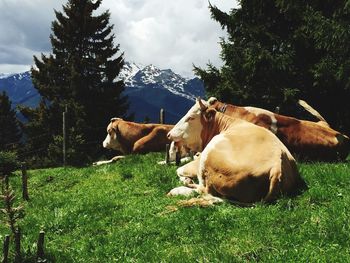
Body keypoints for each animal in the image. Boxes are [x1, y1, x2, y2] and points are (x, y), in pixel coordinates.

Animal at [167, 98, 306, 205]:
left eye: (190, 118)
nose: (169, 134)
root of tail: (276, 165)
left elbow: (178, 169)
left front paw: (186, 180)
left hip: (210, 153)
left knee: (204, 190)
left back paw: (179, 190)